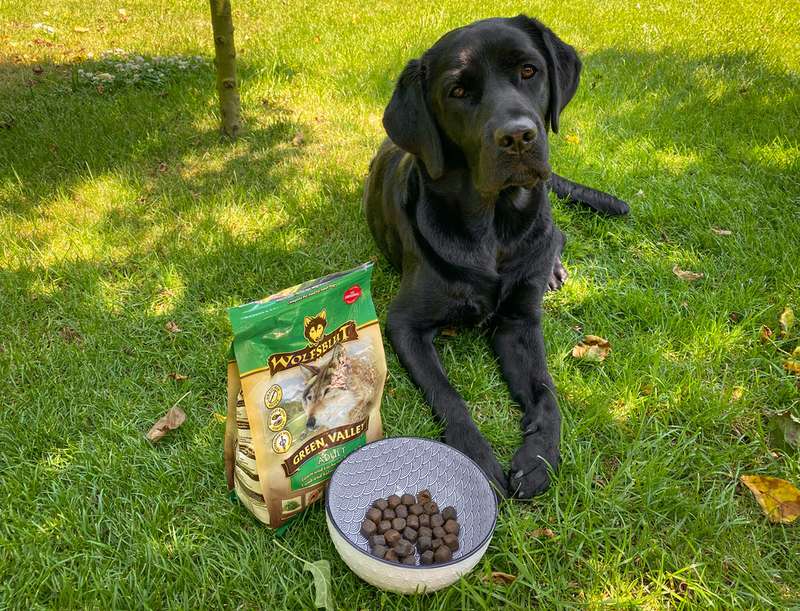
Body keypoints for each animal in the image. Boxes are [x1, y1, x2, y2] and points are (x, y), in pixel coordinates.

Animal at [366, 15, 628, 498]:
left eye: (528, 71)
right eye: (457, 91)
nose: (519, 136)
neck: (493, 226)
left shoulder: (520, 323)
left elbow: (545, 388)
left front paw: (539, 456)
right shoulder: (404, 323)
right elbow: (448, 395)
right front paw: (473, 457)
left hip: (543, 226)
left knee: (556, 234)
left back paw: (552, 271)